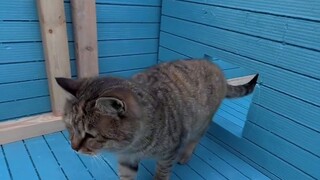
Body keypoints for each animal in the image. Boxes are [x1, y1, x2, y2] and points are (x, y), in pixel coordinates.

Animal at [56, 59, 258, 180]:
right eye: (70, 128)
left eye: (90, 135)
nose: (73, 148)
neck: (132, 145)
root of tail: (214, 66)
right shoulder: (126, 159)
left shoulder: (168, 154)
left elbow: (162, 174)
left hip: (201, 123)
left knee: (195, 139)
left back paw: (186, 155)